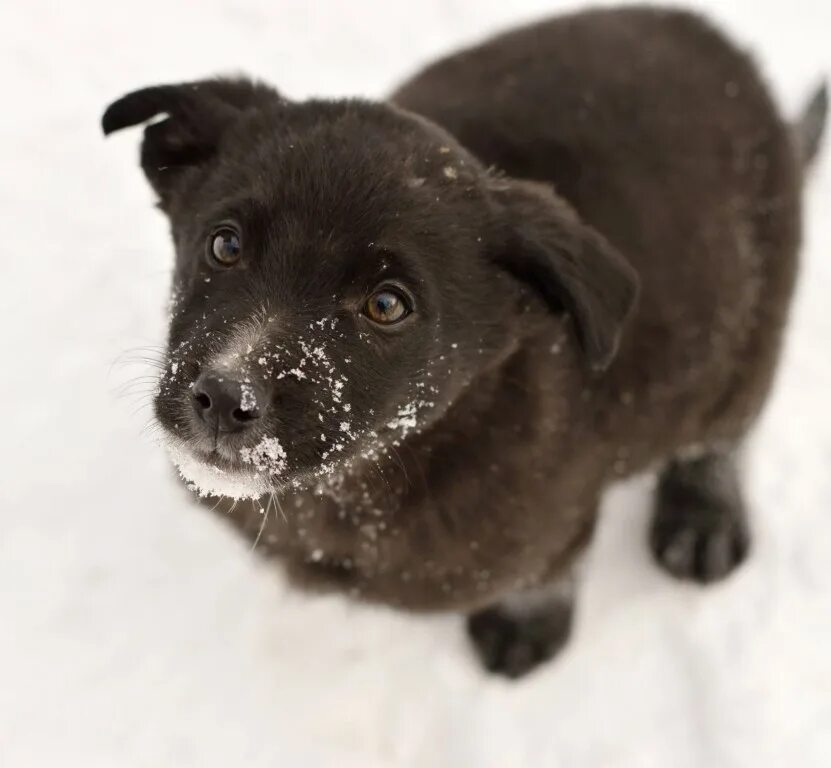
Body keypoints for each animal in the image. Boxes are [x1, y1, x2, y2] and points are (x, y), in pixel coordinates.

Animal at [104, 7, 824, 680]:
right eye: (225, 245)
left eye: (387, 305)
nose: (225, 399)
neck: (360, 489)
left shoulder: (557, 522)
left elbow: (545, 569)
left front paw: (526, 627)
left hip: (748, 339)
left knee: (722, 435)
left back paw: (703, 520)